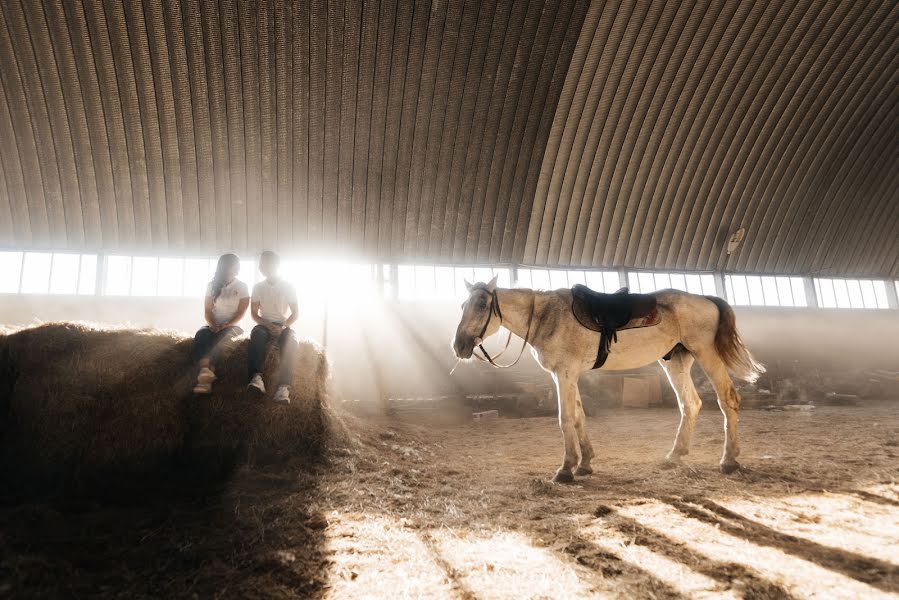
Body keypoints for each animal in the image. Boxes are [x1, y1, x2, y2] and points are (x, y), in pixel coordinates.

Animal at [454, 276, 764, 482]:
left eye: (481, 305)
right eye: (462, 305)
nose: (459, 346)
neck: (546, 317)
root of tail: (707, 299)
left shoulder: (564, 374)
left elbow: (566, 418)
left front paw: (566, 469)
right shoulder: (570, 376)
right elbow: (579, 417)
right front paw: (585, 464)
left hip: (706, 355)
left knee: (727, 400)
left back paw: (729, 460)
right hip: (676, 361)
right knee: (691, 404)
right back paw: (674, 456)